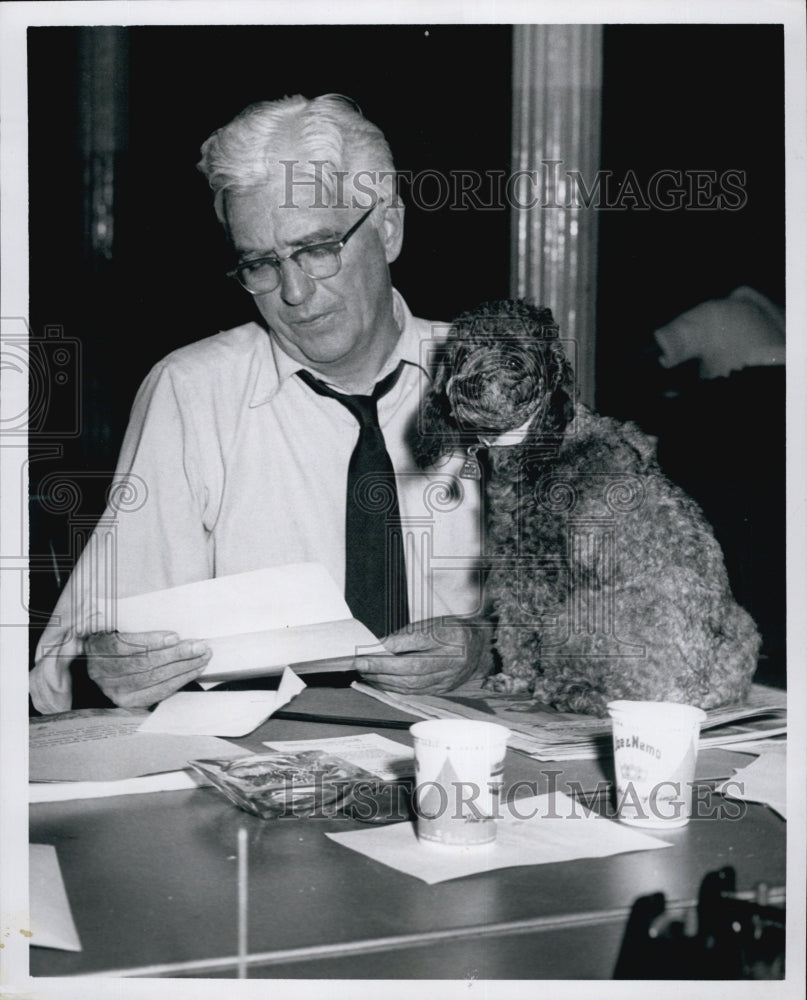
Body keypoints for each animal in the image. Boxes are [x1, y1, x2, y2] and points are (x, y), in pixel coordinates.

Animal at [416, 300, 764, 716]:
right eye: (463, 352)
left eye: (514, 361)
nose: (468, 384)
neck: (539, 439)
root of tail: (691, 690)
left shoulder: (530, 568)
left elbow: (518, 630)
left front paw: (516, 678)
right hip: (742, 625)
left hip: (577, 619)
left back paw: (566, 692)